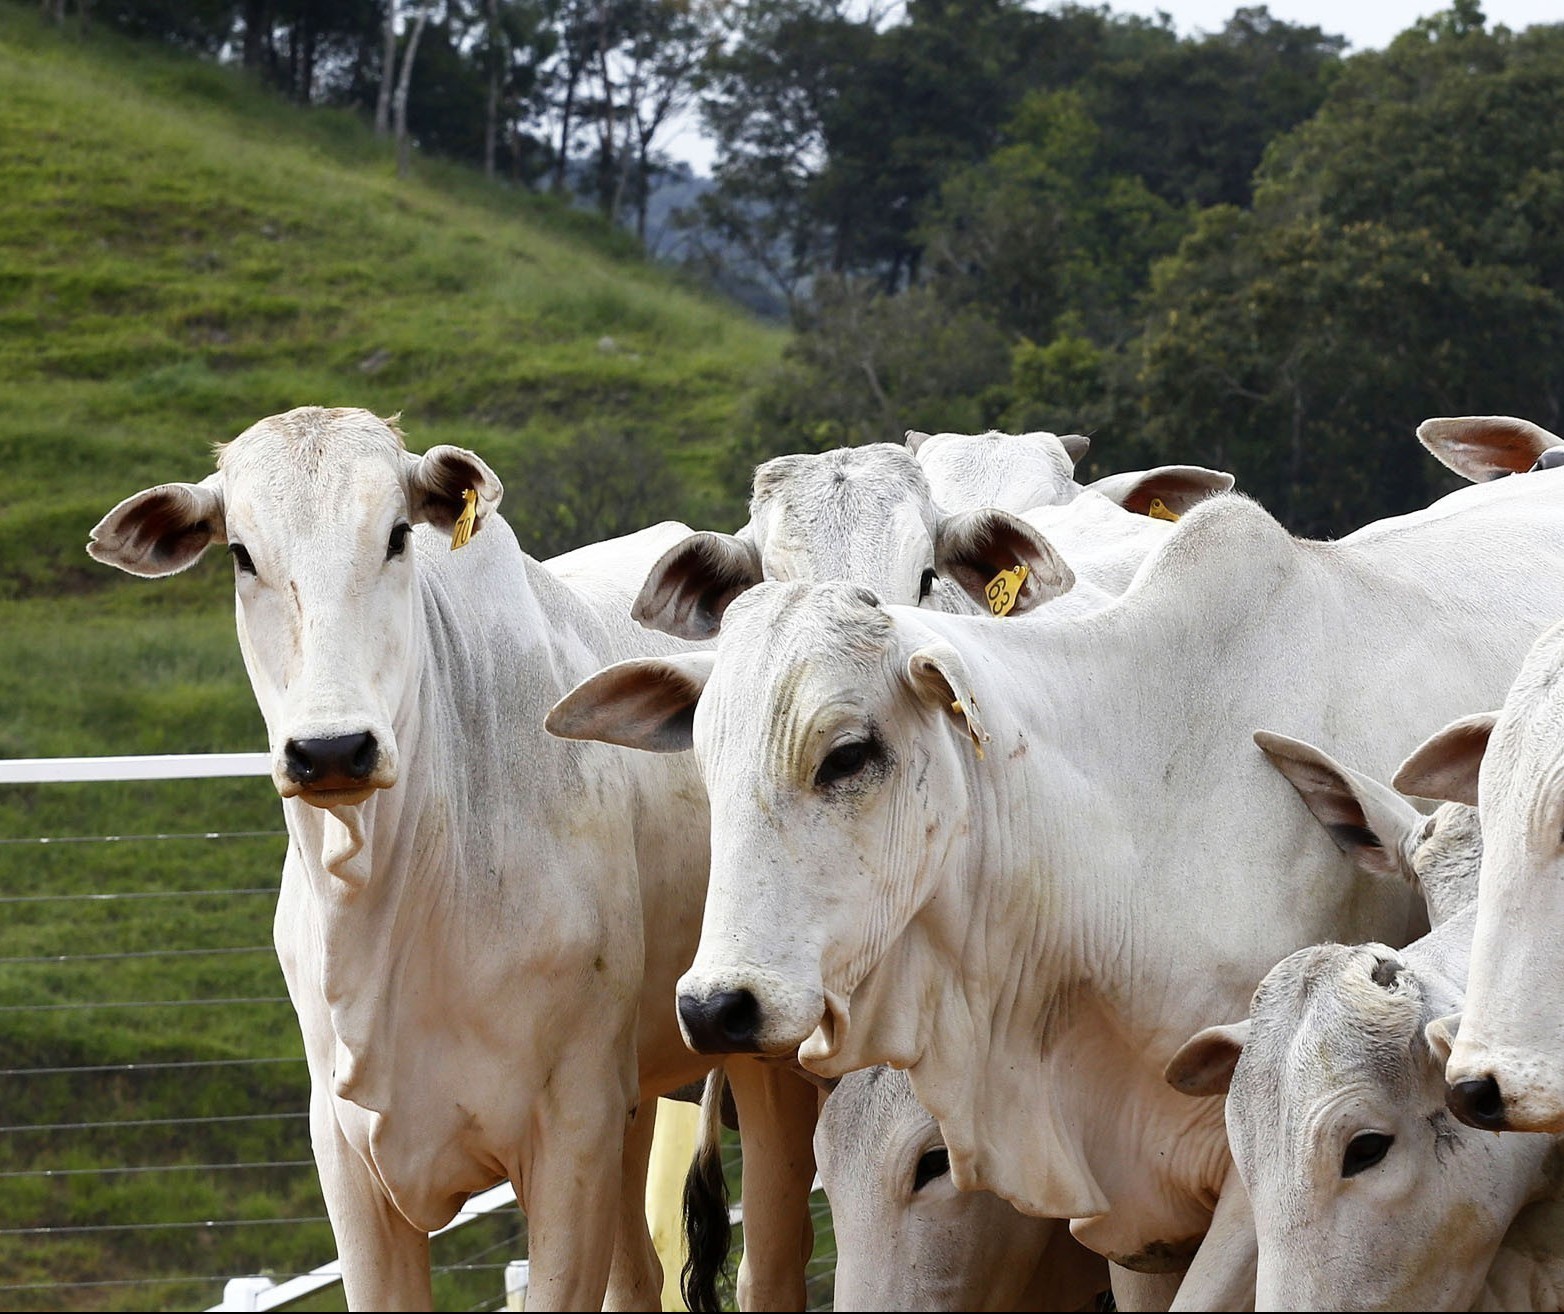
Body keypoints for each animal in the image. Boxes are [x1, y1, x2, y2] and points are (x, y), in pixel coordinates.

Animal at [85, 406, 819, 1307]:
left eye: (397, 534)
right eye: (241, 553)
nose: (332, 750)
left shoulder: (569, 1137)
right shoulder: (350, 1162)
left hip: (760, 1065)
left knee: (772, 1260)